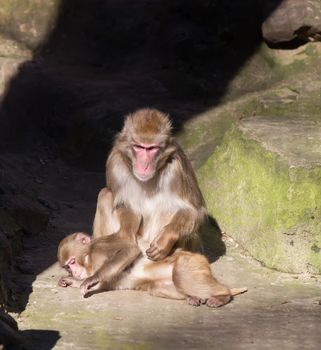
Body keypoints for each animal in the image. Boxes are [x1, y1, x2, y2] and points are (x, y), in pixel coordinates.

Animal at [57, 232, 246, 306]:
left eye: (72, 262)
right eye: (67, 267)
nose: (73, 272)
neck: (89, 258)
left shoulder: (101, 247)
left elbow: (129, 249)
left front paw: (90, 280)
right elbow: (107, 284)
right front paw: (71, 281)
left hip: (192, 262)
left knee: (180, 274)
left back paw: (223, 295)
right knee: (156, 287)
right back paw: (192, 297)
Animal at [93, 108, 205, 262]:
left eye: (152, 148)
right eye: (139, 147)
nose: (144, 165)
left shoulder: (178, 168)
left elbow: (194, 211)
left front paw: (165, 239)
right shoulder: (115, 164)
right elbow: (124, 203)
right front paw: (126, 234)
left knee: (169, 207)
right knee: (105, 194)